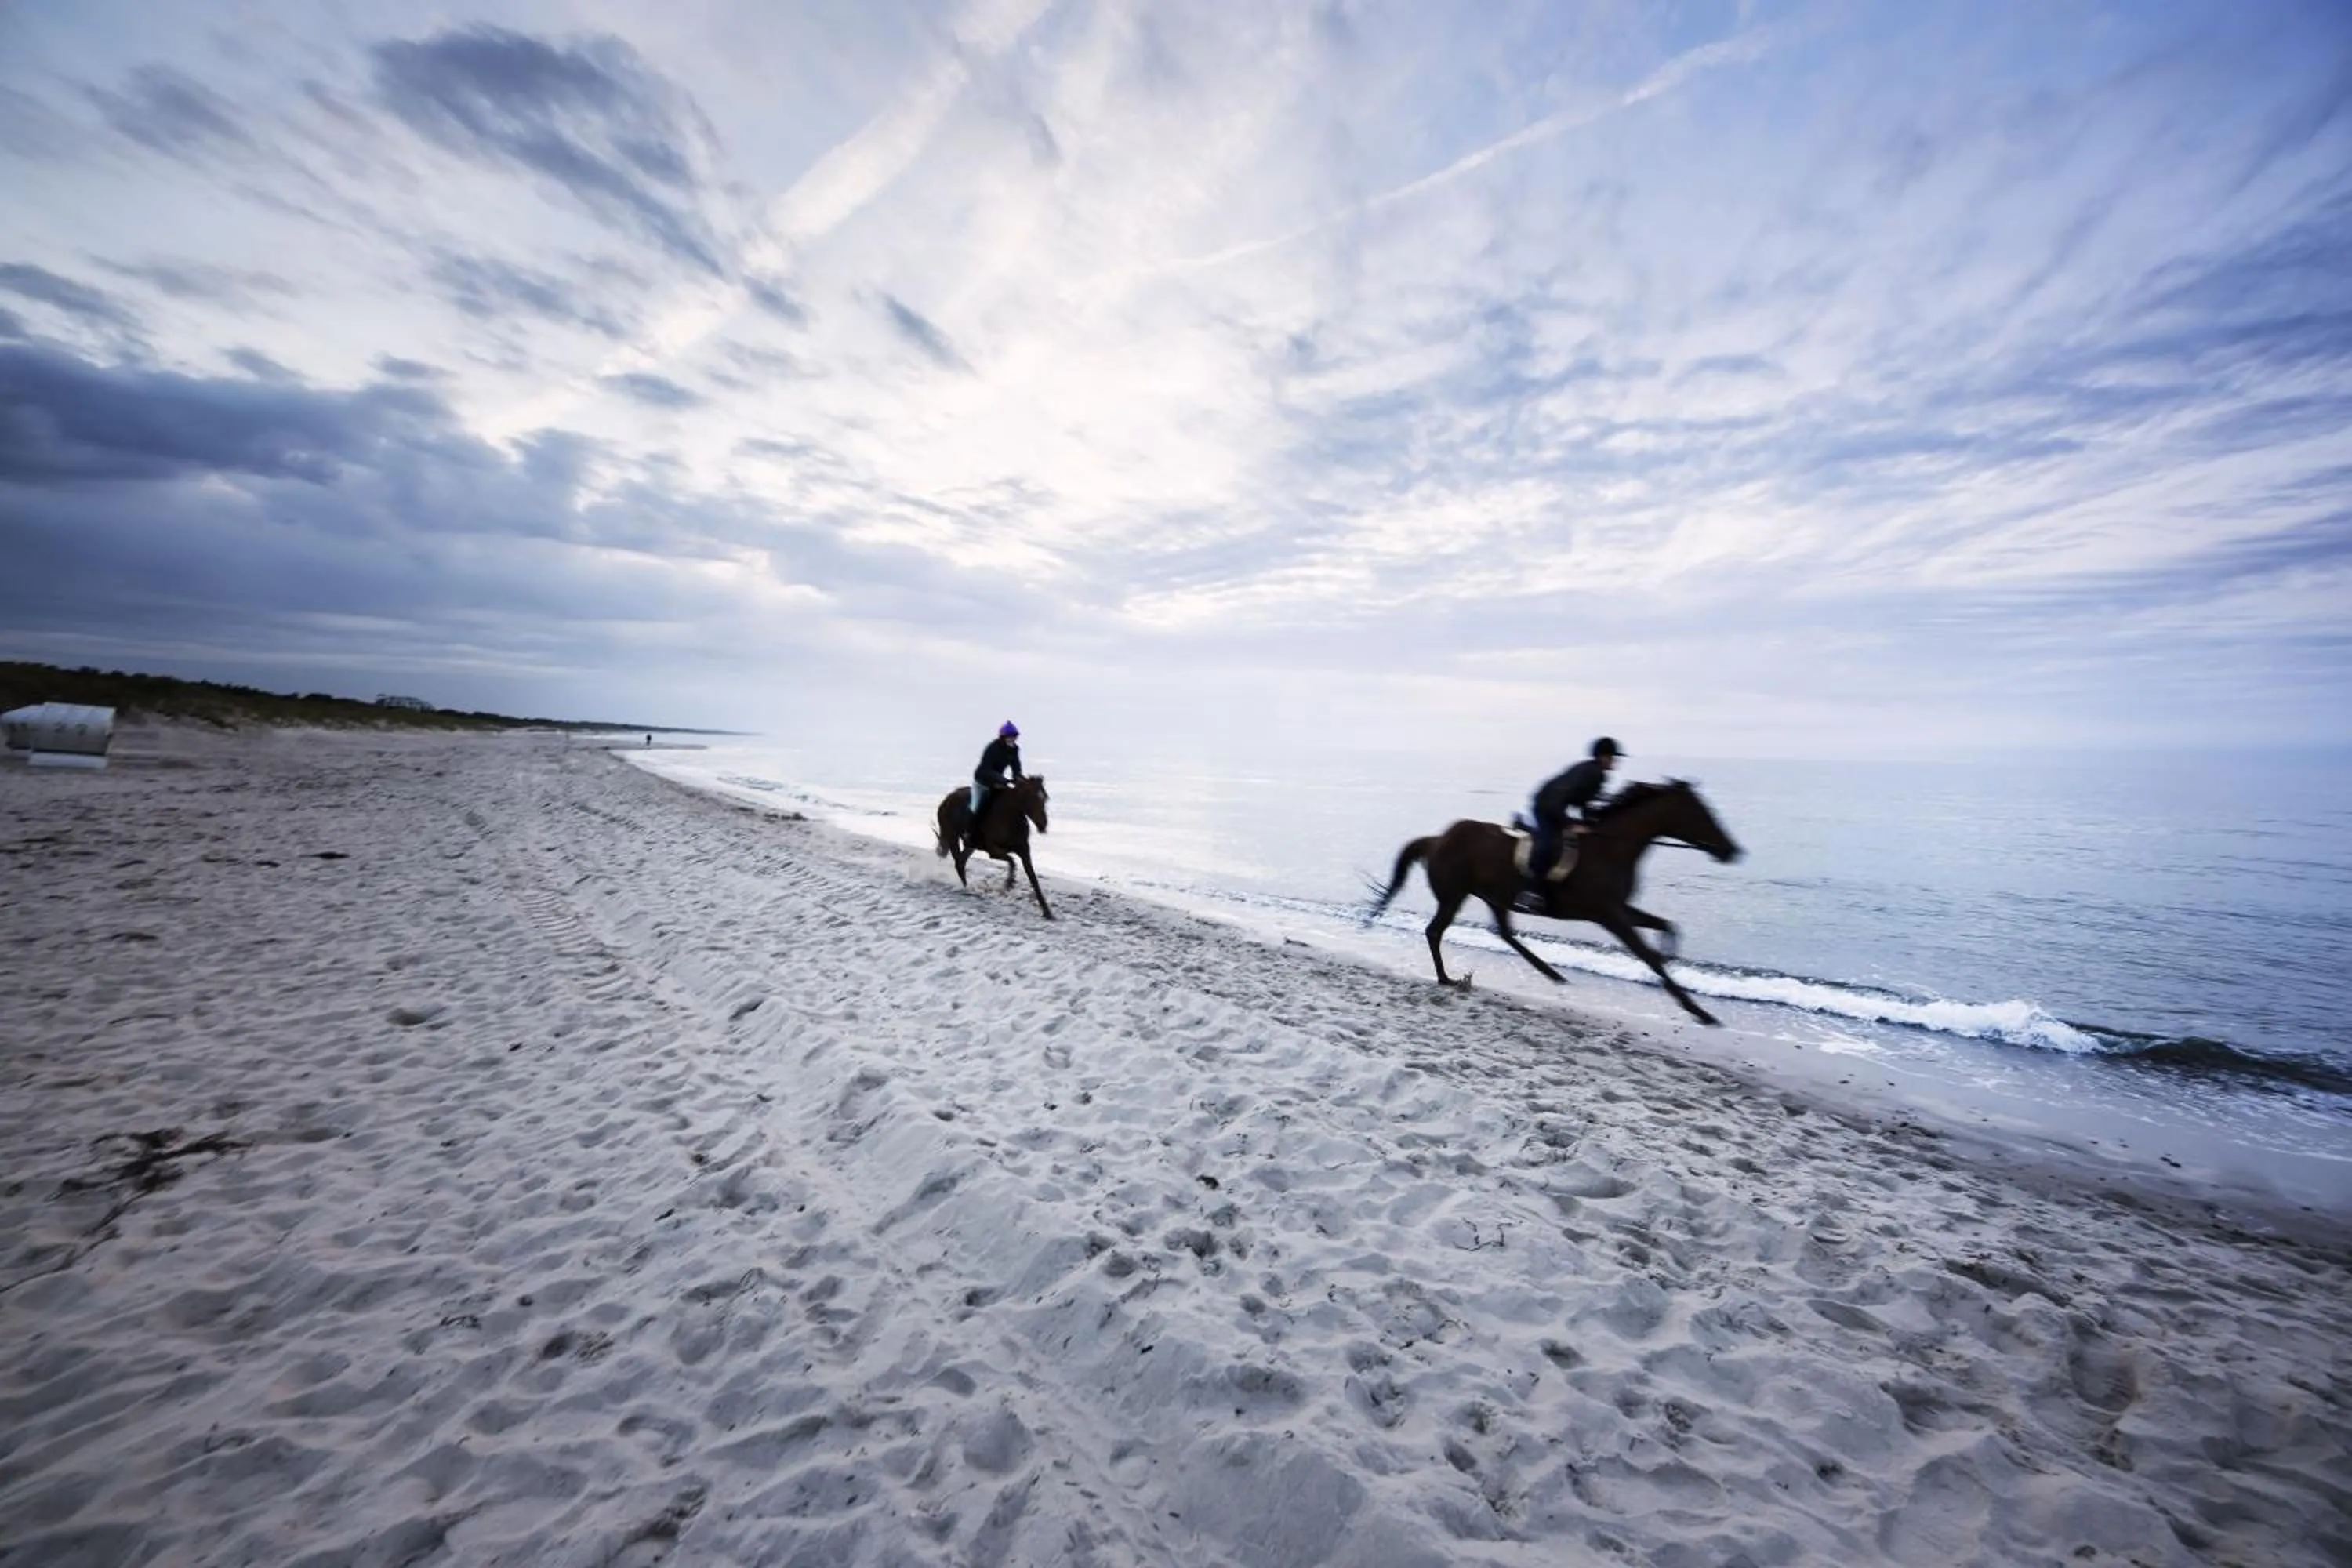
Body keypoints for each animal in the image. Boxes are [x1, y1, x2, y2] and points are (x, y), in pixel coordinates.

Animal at [935, 775, 1054, 919]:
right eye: (1031, 797)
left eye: (1045, 798)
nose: (1043, 825)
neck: (1009, 818)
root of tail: (946, 800)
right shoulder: (993, 850)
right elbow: (1011, 861)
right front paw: (1008, 884)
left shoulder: (1024, 852)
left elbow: (1033, 879)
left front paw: (1047, 912)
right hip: (952, 836)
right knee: (959, 863)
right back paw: (968, 889)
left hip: (969, 845)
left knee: (961, 861)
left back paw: (969, 887)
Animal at [1365, 780, 1741, 1025]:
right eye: (1702, 814)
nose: (1731, 850)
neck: (1612, 847)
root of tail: (1437, 839)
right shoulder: (1610, 915)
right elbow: (1647, 954)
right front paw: (1699, 1010)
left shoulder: (1620, 909)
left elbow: (1666, 927)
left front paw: (1671, 958)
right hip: (1455, 895)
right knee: (1436, 931)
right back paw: (1447, 979)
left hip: (1495, 896)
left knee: (1503, 932)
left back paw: (1551, 972)